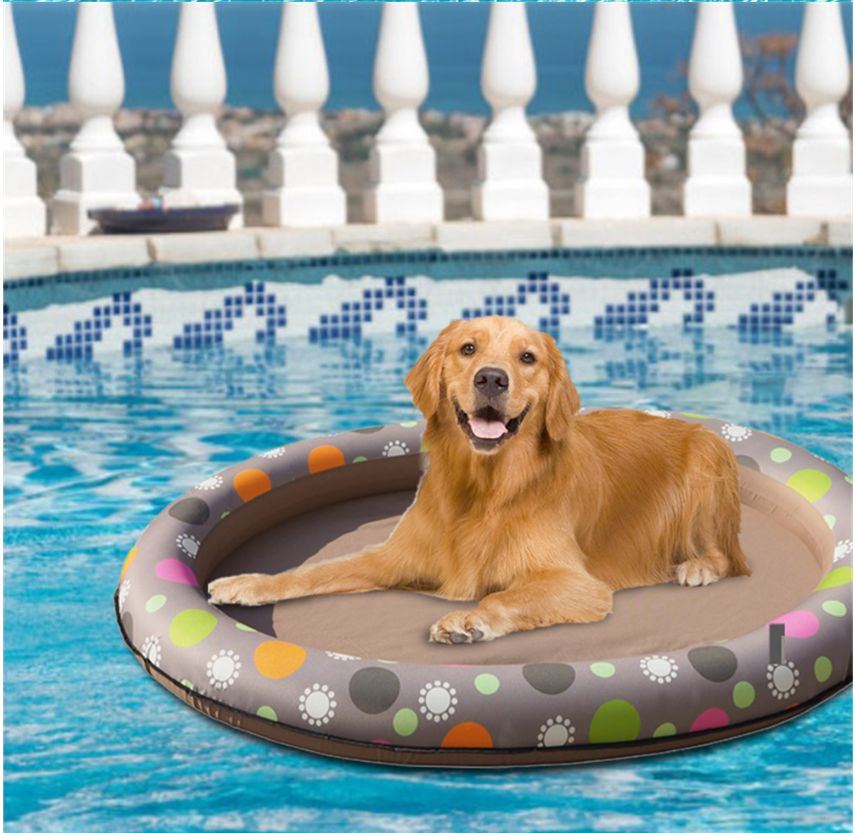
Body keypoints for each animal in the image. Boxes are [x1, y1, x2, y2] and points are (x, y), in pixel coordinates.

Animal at [206, 318, 748, 644]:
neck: (485, 491)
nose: (491, 378)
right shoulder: (394, 558)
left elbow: (503, 594)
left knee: (726, 557)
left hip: (709, 459)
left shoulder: (577, 583)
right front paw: (250, 583)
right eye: (467, 349)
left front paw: (469, 619)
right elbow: (314, 572)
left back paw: (696, 567)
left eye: (528, 358)